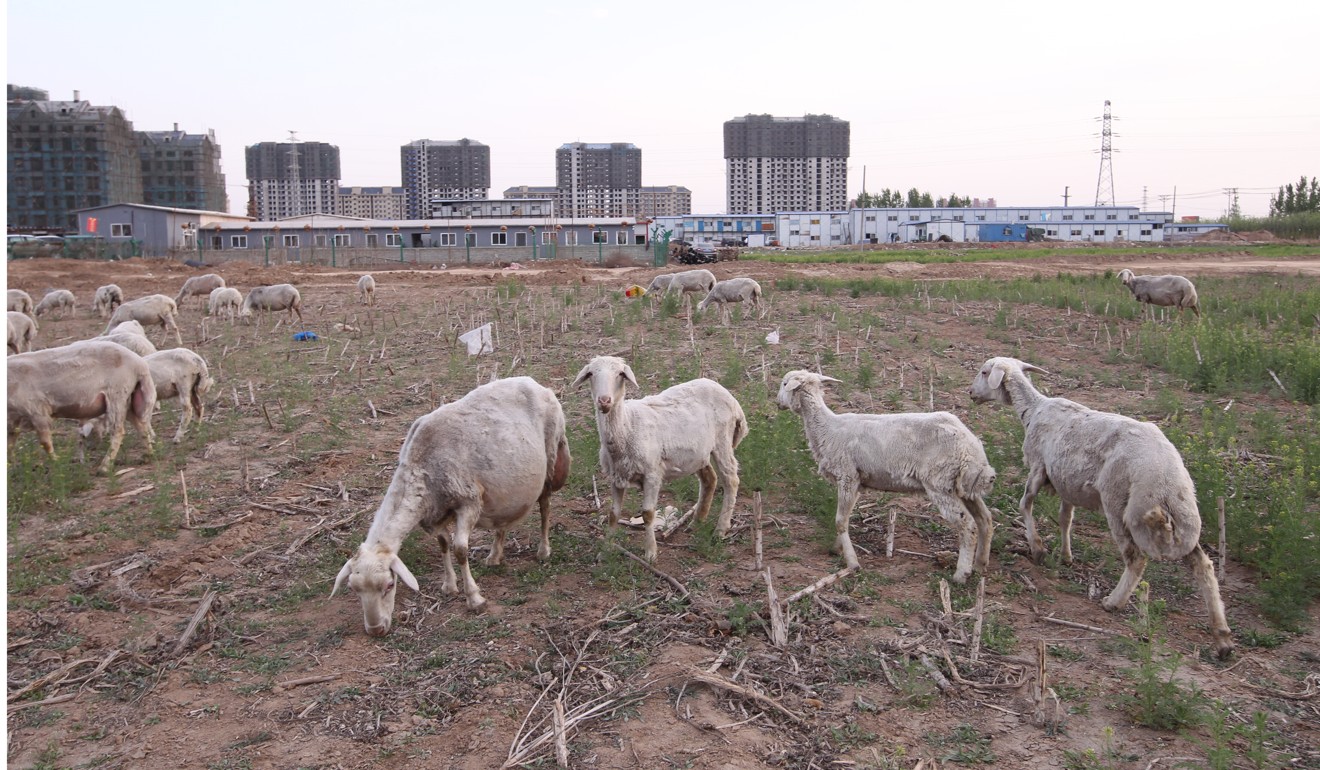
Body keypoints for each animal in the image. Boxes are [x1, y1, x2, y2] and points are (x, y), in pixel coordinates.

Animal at [9, 340, 156, 472]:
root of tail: (140, 364)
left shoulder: (37, 411)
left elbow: (45, 443)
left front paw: (57, 464)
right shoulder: (14, 420)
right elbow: (10, 445)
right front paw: (12, 468)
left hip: (117, 393)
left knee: (118, 431)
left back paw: (104, 467)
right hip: (127, 399)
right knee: (140, 425)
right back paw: (148, 455)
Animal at [332, 377, 570, 636]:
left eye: (389, 585)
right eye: (354, 589)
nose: (376, 629)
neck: (421, 468)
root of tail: (534, 382)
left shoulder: (469, 502)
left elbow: (459, 550)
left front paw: (474, 598)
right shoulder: (433, 515)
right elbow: (443, 544)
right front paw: (449, 585)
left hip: (550, 456)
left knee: (545, 505)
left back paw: (543, 551)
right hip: (505, 484)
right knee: (504, 516)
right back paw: (495, 555)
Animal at [575, 353, 749, 560]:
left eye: (620, 374)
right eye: (591, 374)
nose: (604, 400)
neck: (627, 425)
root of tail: (729, 396)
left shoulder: (652, 473)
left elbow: (648, 514)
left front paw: (650, 553)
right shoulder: (616, 476)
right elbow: (613, 513)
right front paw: (606, 550)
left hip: (723, 440)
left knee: (731, 480)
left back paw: (720, 530)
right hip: (699, 453)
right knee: (710, 479)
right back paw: (697, 522)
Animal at [770, 369, 997, 581]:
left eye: (784, 383)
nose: (777, 403)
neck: (827, 428)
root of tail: (973, 449)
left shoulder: (847, 476)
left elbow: (840, 520)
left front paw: (852, 563)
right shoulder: (857, 481)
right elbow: (845, 517)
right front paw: (837, 549)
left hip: (939, 483)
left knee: (967, 524)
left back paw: (961, 574)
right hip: (963, 486)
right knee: (984, 519)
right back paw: (980, 564)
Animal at [966, 359, 1230, 660]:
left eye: (984, 372)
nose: (970, 393)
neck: (1033, 408)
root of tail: (1164, 477)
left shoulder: (1038, 468)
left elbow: (1025, 505)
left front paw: (1037, 547)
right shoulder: (1066, 482)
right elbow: (1065, 518)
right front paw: (1066, 555)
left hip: (1120, 505)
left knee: (1136, 558)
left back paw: (1113, 601)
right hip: (1185, 518)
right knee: (1203, 565)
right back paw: (1222, 635)